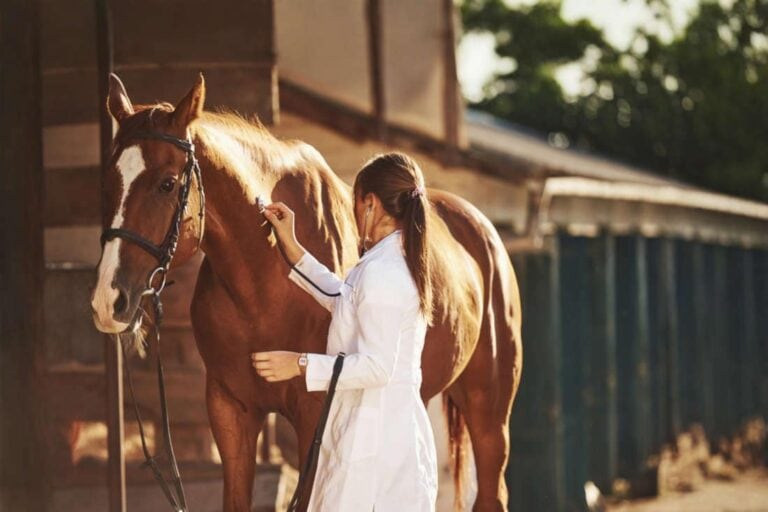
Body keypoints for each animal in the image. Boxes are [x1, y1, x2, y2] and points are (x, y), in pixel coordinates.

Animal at [90, 73, 523, 512]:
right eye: (106, 183)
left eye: (167, 184)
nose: (109, 301)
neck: (264, 286)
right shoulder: (231, 411)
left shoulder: (316, 415)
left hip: (490, 415)